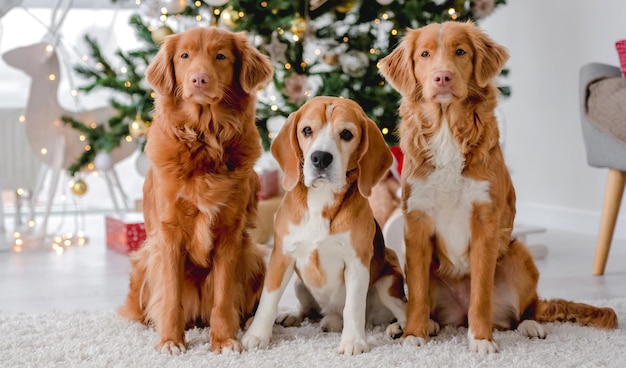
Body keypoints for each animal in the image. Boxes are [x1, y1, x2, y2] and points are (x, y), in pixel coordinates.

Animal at [117, 27, 272, 356]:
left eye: (221, 56)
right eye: (184, 56)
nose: (199, 79)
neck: (205, 139)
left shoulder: (230, 233)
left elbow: (223, 298)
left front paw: (224, 340)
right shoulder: (169, 233)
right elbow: (171, 297)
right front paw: (170, 341)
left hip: (252, 255)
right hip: (144, 259)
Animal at [239, 96, 404, 356]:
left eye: (346, 134)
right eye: (307, 130)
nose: (320, 158)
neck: (321, 199)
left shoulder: (357, 262)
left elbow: (353, 306)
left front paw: (354, 341)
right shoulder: (281, 257)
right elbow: (268, 299)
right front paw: (256, 335)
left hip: (388, 281)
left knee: (408, 312)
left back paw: (404, 328)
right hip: (299, 284)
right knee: (312, 311)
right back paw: (293, 316)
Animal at [376, 20, 616, 354]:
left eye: (460, 52)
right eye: (425, 54)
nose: (442, 77)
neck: (447, 130)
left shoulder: (485, 223)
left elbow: (480, 295)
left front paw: (481, 340)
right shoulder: (417, 224)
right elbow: (419, 293)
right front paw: (414, 333)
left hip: (518, 256)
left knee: (527, 308)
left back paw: (530, 325)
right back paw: (416, 325)